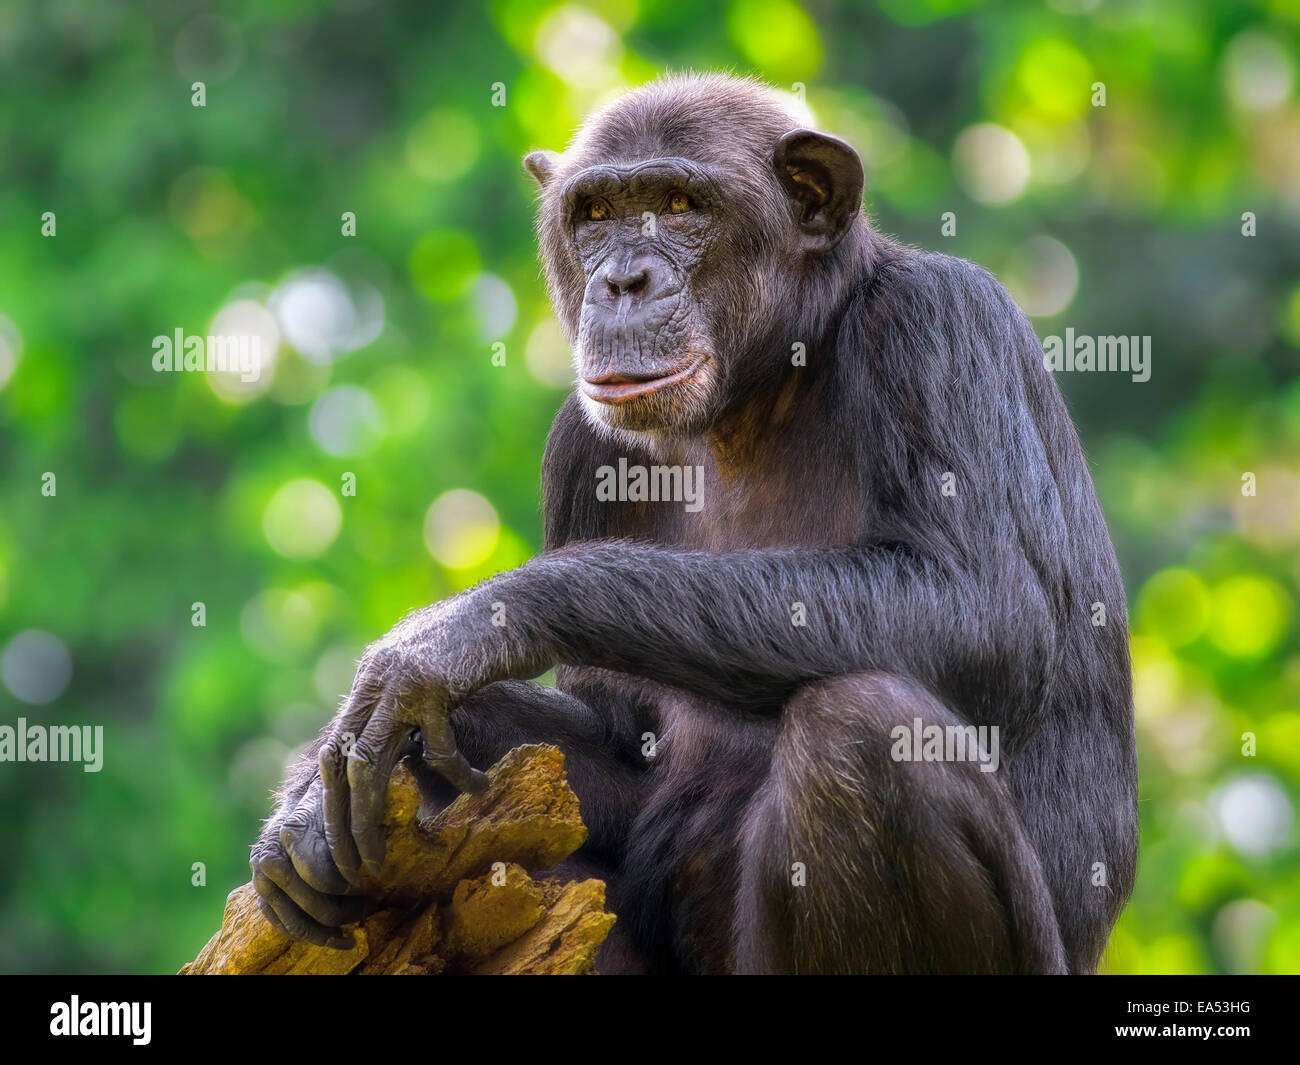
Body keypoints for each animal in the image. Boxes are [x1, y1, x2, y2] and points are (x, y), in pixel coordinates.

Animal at [245, 72, 1138, 972]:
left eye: (679, 205)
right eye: (596, 214)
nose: (623, 281)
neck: (764, 388)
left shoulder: (941, 322)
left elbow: (986, 608)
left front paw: (456, 633)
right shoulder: (580, 449)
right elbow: (613, 737)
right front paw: (317, 796)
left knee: (862, 729)